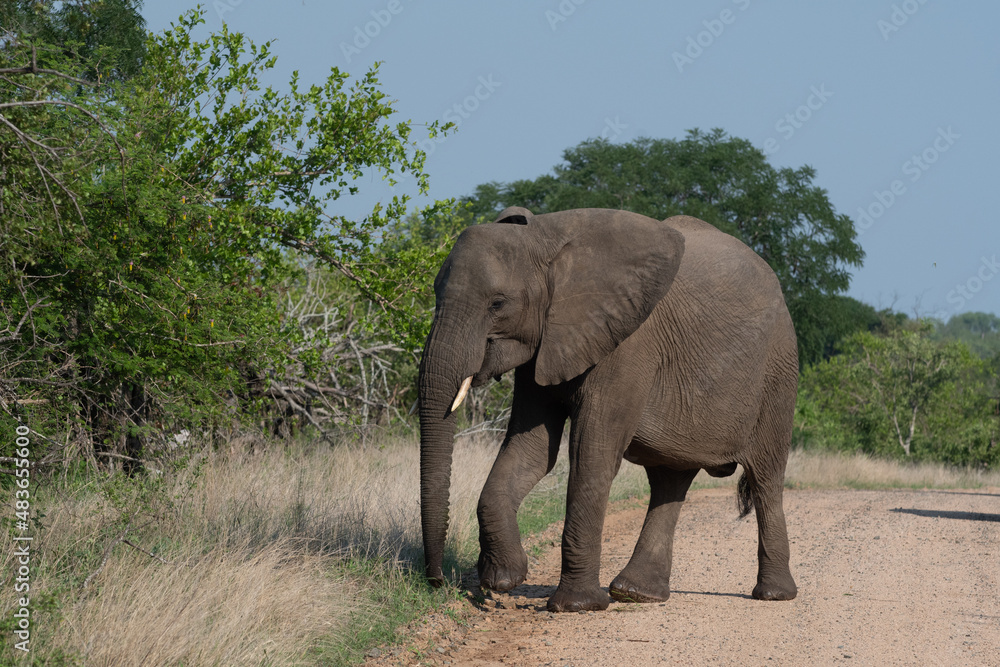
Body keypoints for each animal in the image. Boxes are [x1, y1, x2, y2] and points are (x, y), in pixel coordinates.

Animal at [418, 206, 800, 612]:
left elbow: (591, 453)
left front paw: (575, 606)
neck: (547, 240)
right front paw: (505, 578)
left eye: (498, 303)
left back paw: (774, 595)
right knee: (670, 479)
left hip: (778, 371)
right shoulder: (545, 342)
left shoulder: (628, 342)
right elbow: (531, 450)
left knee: (765, 477)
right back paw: (636, 593)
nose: (438, 581)